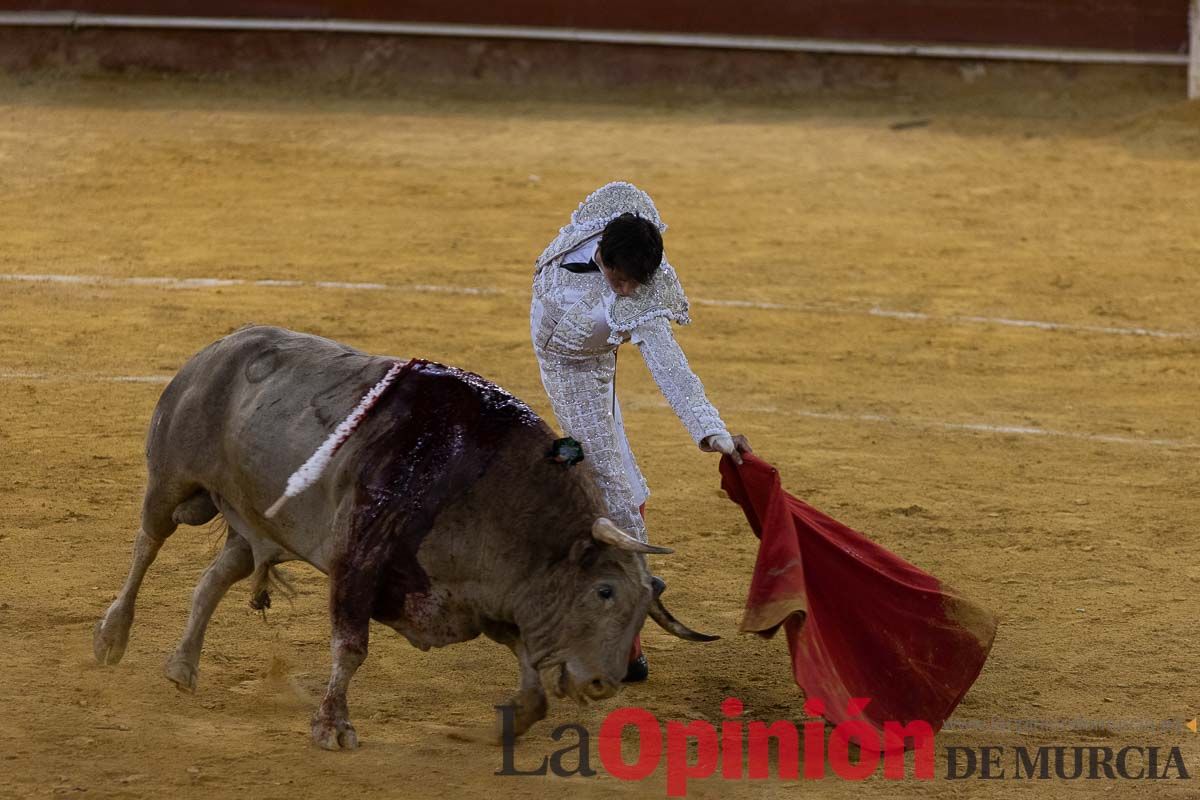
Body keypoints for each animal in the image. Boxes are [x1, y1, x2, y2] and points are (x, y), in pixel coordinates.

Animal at [96, 326, 710, 753]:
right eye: (604, 592)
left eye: (642, 609)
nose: (607, 683)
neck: (483, 484)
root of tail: (217, 347)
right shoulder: (358, 562)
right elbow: (351, 648)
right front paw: (333, 727)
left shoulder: (483, 599)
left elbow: (530, 674)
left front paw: (501, 727)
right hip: (173, 482)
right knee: (146, 544)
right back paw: (111, 637)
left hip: (253, 525)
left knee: (216, 577)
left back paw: (182, 666)